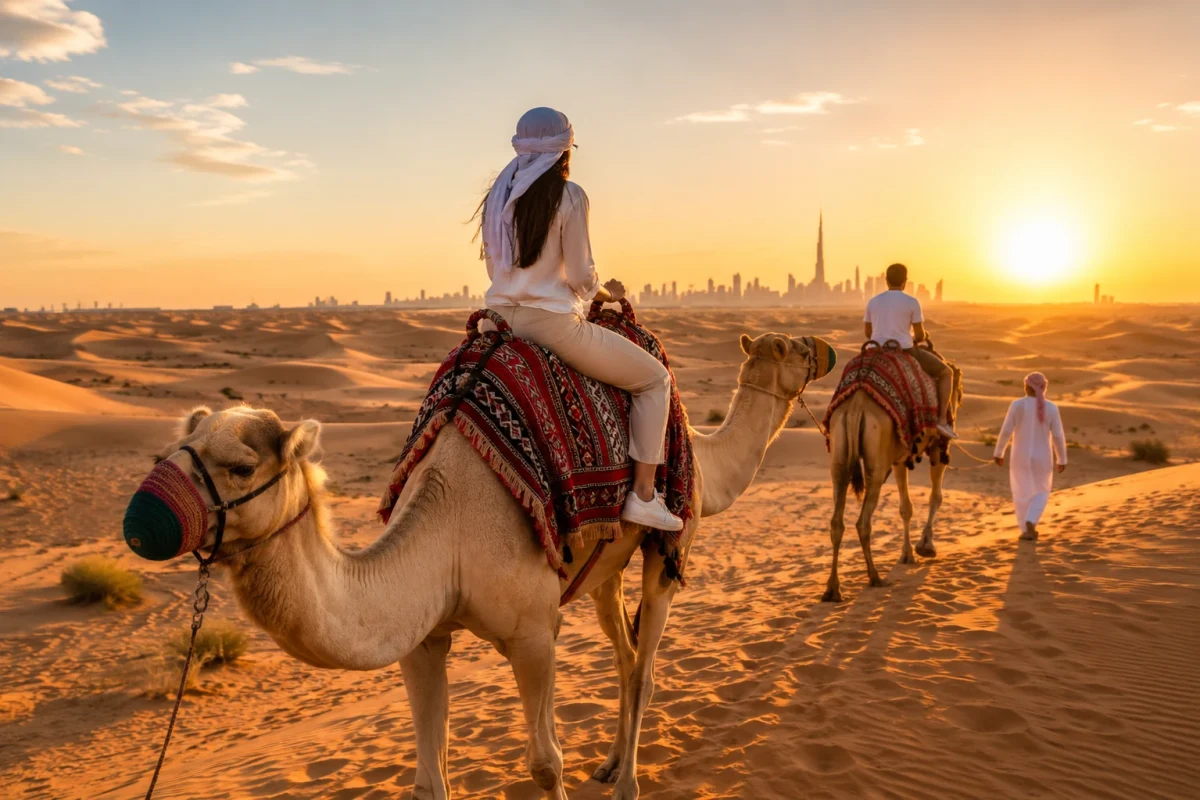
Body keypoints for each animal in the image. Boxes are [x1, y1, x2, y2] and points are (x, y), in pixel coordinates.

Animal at [143, 331, 817, 800]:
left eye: (240, 466)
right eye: (175, 449)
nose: (145, 514)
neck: (449, 528)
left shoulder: (532, 634)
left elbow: (545, 763)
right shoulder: (423, 637)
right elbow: (428, 780)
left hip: (671, 541)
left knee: (647, 663)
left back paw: (628, 783)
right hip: (605, 567)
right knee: (625, 656)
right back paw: (609, 764)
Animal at [823, 356, 963, 602]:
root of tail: (856, 407)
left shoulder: (899, 458)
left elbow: (905, 507)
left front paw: (907, 554)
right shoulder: (938, 448)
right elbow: (935, 497)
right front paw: (925, 547)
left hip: (839, 457)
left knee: (836, 522)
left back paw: (833, 589)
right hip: (877, 464)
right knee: (863, 521)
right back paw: (875, 577)